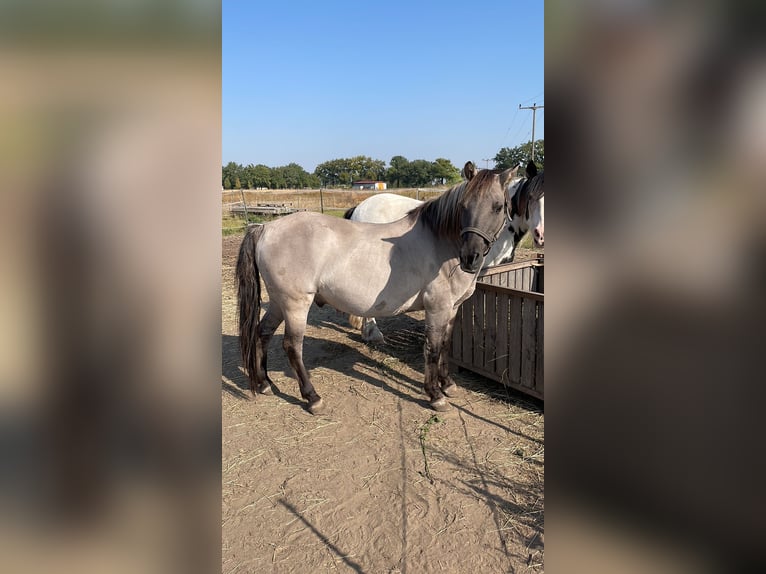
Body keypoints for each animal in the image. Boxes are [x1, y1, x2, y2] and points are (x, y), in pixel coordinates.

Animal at [237, 164, 520, 416]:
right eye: (463, 206)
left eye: (497, 206)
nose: (470, 257)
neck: (441, 243)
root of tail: (265, 228)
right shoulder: (437, 308)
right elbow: (432, 348)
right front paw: (435, 395)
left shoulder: (452, 309)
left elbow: (445, 346)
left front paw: (448, 385)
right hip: (295, 305)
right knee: (292, 346)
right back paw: (312, 398)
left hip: (278, 302)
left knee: (262, 333)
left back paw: (264, 383)